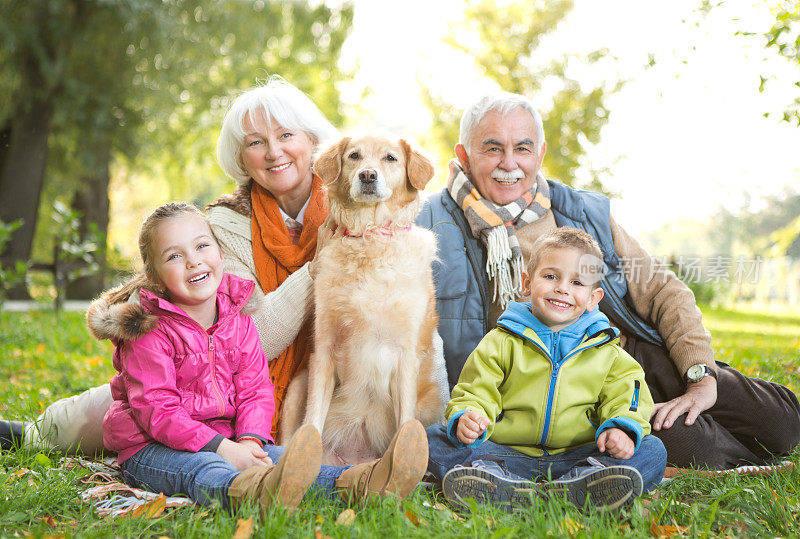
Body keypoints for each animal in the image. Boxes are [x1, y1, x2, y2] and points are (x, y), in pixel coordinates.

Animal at [282, 134, 444, 464]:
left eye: (390, 158)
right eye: (354, 156)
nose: (368, 175)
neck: (370, 239)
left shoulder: (406, 355)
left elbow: (404, 423)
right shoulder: (324, 349)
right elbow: (313, 419)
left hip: (431, 398)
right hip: (298, 385)